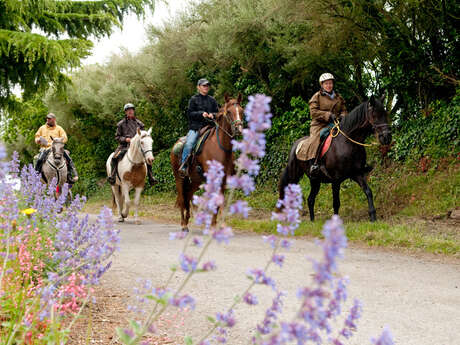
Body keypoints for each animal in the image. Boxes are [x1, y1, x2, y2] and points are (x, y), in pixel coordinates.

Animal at [171, 93, 244, 231]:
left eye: (241, 111)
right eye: (229, 112)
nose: (238, 128)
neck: (221, 147)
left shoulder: (223, 179)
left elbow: (220, 201)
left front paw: (218, 225)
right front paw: (214, 225)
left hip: (195, 181)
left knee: (188, 195)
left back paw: (188, 220)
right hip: (179, 178)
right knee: (182, 198)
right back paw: (183, 224)